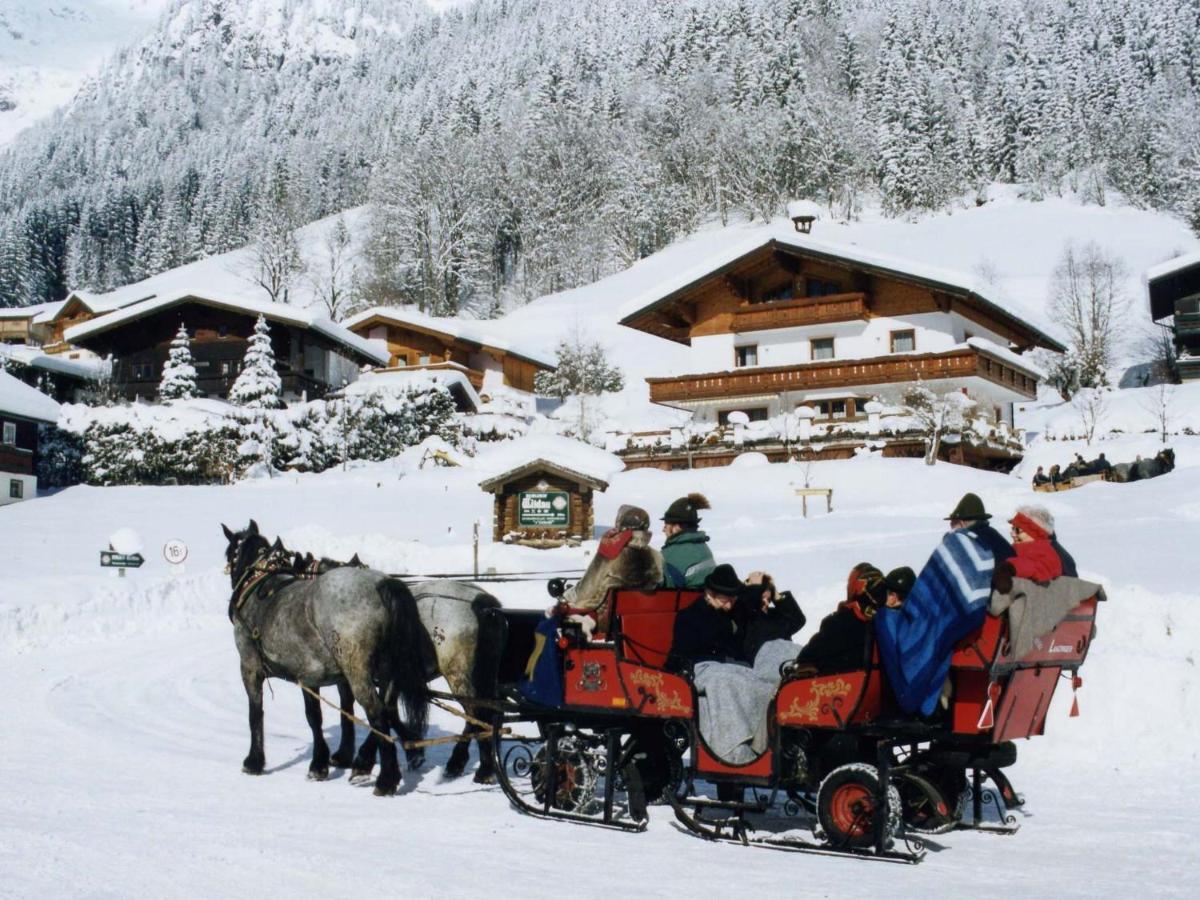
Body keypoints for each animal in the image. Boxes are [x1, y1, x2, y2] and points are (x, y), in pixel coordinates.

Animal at [223, 520, 429, 796]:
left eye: (230, 554)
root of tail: (383, 585)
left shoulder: (254, 668)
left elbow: (266, 713)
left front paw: (258, 761)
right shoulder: (327, 678)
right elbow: (342, 712)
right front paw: (340, 756)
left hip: (358, 671)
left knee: (377, 713)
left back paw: (386, 778)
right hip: (387, 670)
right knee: (387, 708)